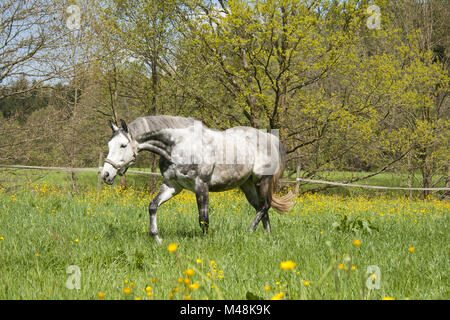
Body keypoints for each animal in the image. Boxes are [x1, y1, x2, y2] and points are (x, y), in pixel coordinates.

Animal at [100, 115, 294, 242]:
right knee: (262, 208)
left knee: (264, 206)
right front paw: (157, 238)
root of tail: (270, 138)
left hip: (262, 181)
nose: (106, 174)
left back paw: (249, 232)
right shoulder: (172, 185)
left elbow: (203, 219)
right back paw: (266, 236)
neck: (178, 146)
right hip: (247, 185)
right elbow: (153, 206)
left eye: (123, 145)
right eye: (109, 145)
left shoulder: (201, 185)